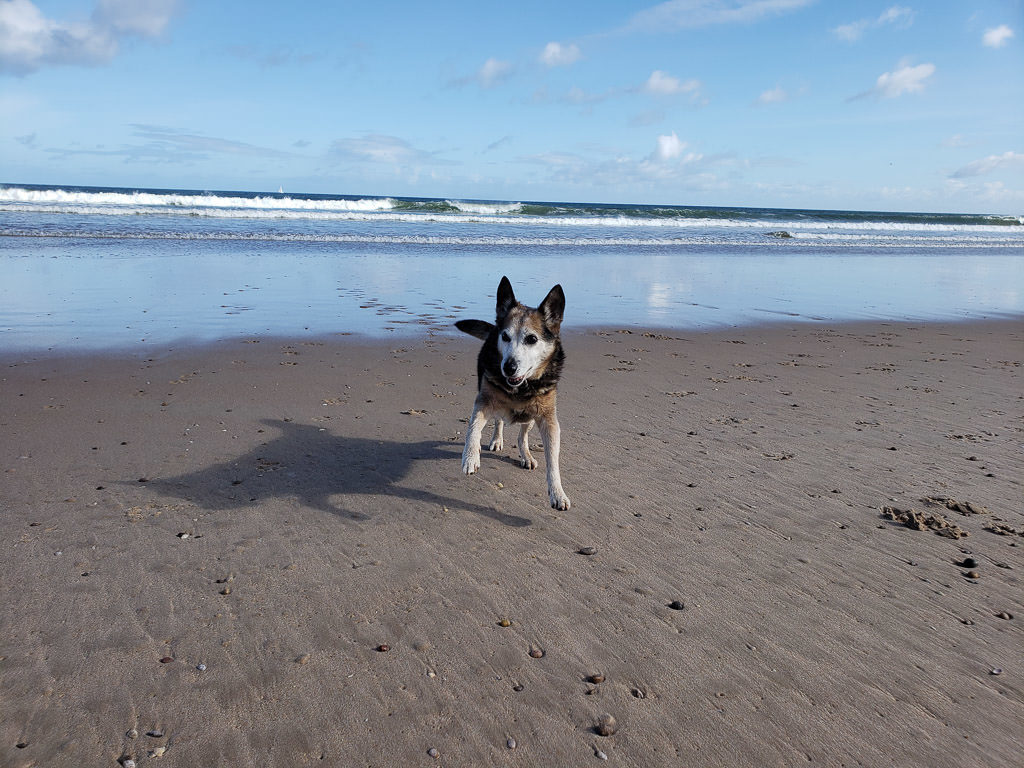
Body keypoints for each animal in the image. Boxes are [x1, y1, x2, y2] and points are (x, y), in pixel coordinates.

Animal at [456, 276, 569, 512]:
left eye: (532, 339)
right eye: (505, 337)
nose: (508, 367)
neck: (520, 387)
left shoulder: (548, 418)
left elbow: (552, 459)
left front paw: (557, 492)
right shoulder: (483, 401)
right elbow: (473, 428)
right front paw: (470, 457)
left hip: (530, 415)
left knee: (522, 434)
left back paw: (526, 455)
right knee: (498, 420)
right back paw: (496, 440)